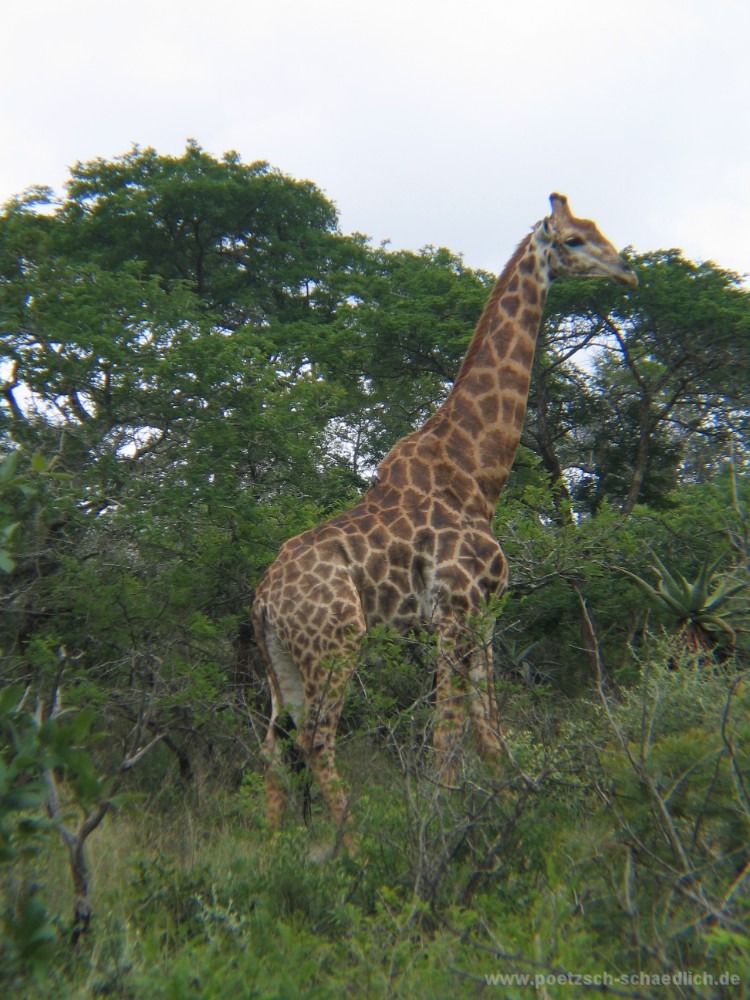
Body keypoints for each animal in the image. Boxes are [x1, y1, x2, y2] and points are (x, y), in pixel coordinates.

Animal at [251, 194, 637, 845]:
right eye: (575, 240)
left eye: (597, 229)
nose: (628, 272)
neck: (477, 472)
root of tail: (260, 602)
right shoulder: (454, 612)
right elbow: (448, 732)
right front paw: (442, 826)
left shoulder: (485, 613)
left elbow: (488, 729)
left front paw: (516, 818)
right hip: (336, 642)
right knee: (317, 741)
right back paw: (348, 847)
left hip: (283, 661)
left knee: (274, 749)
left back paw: (275, 851)